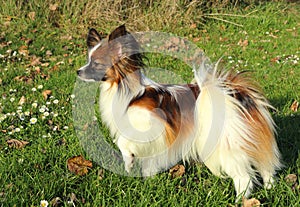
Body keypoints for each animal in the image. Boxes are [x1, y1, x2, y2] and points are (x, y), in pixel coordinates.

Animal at [77, 24, 282, 199]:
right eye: (88, 60)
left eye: (96, 64)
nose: (78, 72)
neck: (128, 92)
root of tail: (237, 94)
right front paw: (144, 177)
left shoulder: (154, 126)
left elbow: (122, 142)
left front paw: (129, 161)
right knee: (265, 166)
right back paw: (270, 187)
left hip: (227, 146)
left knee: (244, 177)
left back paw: (240, 199)